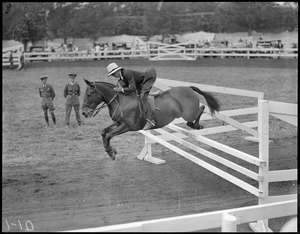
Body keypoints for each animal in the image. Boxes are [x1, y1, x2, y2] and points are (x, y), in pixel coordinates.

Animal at [82, 79, 220, 160]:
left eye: (88, 94)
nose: (84, 112)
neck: (120, 101)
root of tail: (189, 88)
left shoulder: (126, 127)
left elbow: (109, 135)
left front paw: (111, 152)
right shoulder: (117, 123)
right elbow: (104, 132)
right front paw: (111, 151)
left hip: (189, 113)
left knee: (201, 108)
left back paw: (196, 125)